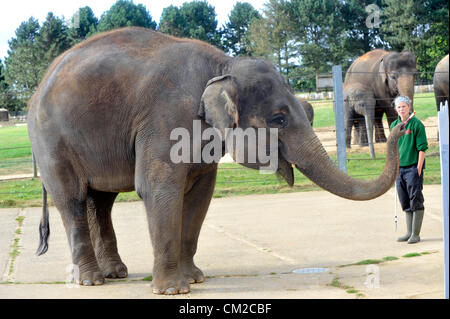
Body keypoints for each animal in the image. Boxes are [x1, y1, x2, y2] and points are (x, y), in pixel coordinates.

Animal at [25, 26, 404, 296]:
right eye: (279, 119)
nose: (402, 123)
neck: (224, 65)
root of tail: (38, 86)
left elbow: (201, 194)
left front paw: (196, 279)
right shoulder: (165, 119)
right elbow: (158, 189)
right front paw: (173, 290)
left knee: (101, 202)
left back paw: (115, 273)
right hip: (51, 142)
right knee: (72, 199)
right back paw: (92, 281)